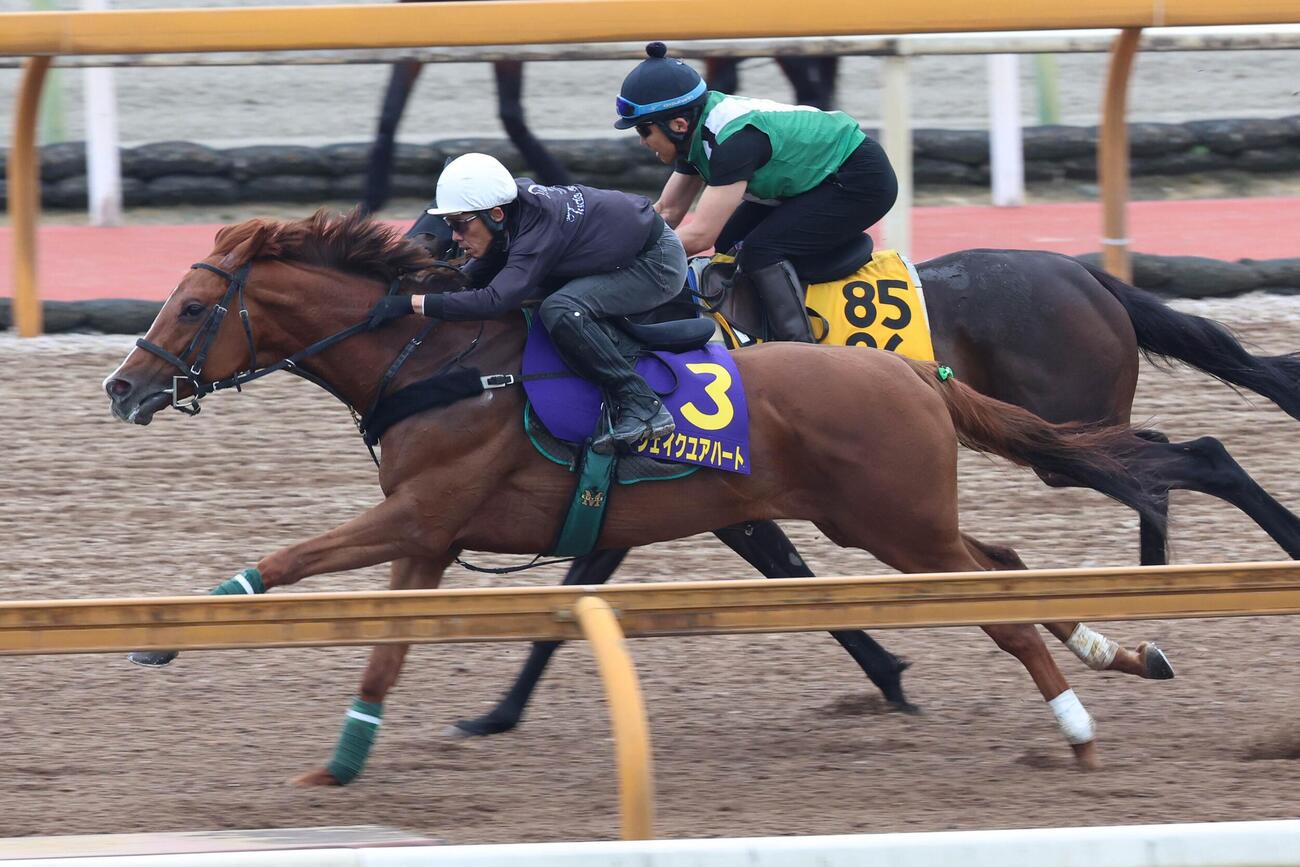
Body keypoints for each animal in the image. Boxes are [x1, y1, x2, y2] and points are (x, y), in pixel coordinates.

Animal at [103, 210, 1180, 782]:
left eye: (192, 308)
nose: (121, 387)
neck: (440, 362)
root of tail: (913, 372)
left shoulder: (418, 514)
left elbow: (293, 558)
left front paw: (171, 629)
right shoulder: (430, 538)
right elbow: (385, 655)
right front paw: (339, 764)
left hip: (895, 524)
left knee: (1002, 607)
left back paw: (1078, 729)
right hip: (894, 522)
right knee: (1005, 565)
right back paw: (1120, 652)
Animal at [448, 245, 1300, 739]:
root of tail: (1084, 271)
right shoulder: (683, 493)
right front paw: (499, 711)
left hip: (1061, 418)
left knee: (1193, 455)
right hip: (1065, 424)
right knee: (1152, 464)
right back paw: (1151, 568)